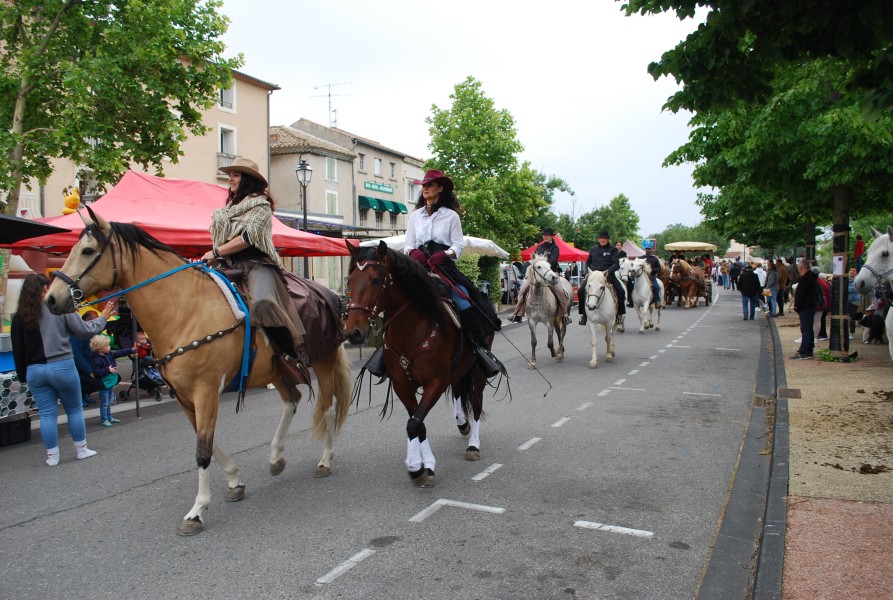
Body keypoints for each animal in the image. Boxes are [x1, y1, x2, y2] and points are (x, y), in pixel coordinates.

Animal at [43, 210, 352, 536]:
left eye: (88, 250)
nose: (51, 298)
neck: (184, 309)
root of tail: (330, 296)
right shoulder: (184, 396)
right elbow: (209, 443)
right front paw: (234, 480)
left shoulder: (205, 391)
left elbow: (202, 450)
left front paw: (197, 511)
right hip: (275, 372)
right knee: (291, 400)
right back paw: (276, 457)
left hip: (322, 361)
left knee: (327, 408)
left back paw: (324, 461)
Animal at [344, 240, 494, 488]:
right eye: (350, 279)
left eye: (376, 279)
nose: (353, 332)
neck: (411, 329)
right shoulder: (402, 385)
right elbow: (417, 423)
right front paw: (424, 466)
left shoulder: (436, 382)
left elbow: (414, 424)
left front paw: (416, 468)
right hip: (457, 370)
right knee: (458, 393)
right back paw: (462, 423)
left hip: (478, 369)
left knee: (476, 403)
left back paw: (473, 445)